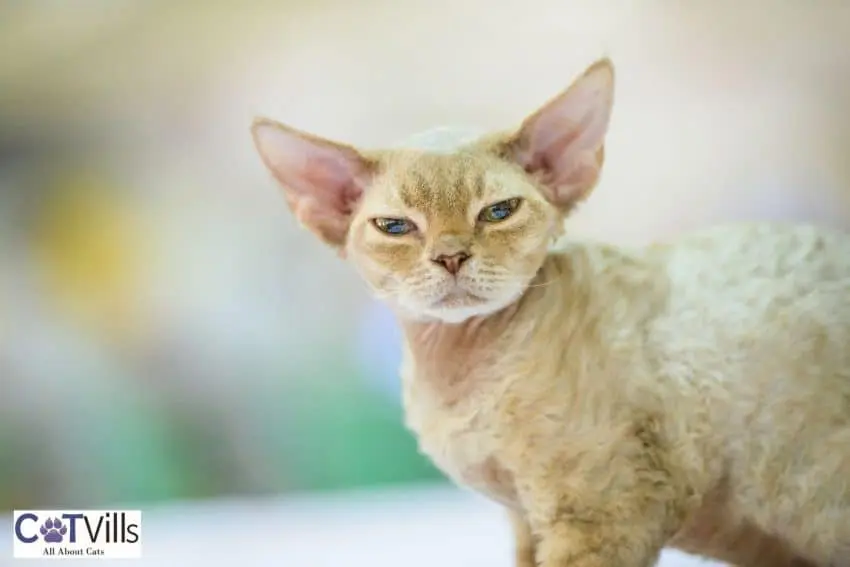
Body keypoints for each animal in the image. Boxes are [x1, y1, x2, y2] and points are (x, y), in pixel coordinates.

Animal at [248, 58, 844, 567]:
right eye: (396, 227)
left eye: (498, 212)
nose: (451, 256)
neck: (458, 374)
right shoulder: (525, 519)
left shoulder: (601, 513)